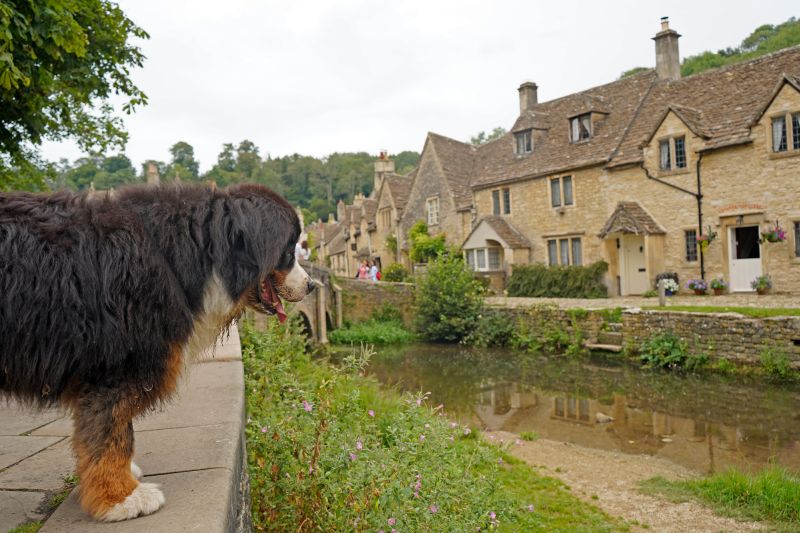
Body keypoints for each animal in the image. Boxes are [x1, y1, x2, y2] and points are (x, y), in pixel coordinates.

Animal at [0, 182, 312, 520]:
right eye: (288, 251)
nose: (312, 285)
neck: (193, 252)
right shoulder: (114, 367)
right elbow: (112, 433)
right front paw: (120, 497)